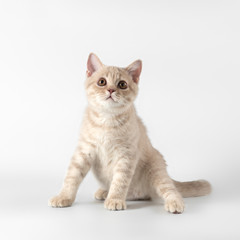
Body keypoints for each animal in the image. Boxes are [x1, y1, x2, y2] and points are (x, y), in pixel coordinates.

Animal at [48, 53, 210, 214]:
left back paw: (175, 203)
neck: (107, 120)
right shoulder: (83, 152)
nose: (111, 90)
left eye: (122, 84)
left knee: (169, 189)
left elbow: (120, 181)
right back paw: (104, 192)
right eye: (102, 82)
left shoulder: (126, 155)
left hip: (156, 170)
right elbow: (72, 177)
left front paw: (115, 199)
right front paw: (63, 197)